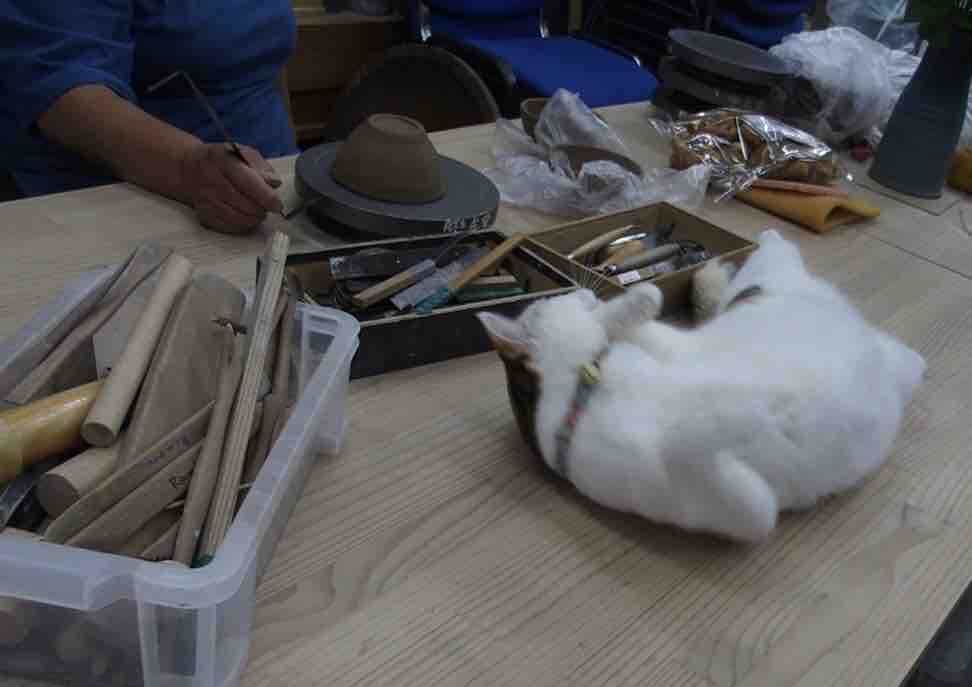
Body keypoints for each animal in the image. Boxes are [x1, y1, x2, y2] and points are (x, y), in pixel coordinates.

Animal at [478, 229, 925, 543]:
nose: (584, 290)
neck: (585, 388)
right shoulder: (745, 509)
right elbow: (693, 442)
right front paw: (748, 413)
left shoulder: (670, 345)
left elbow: (633, 316)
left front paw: (637, 299)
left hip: (777, 297)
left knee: (771, 264)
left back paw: (721, 270)